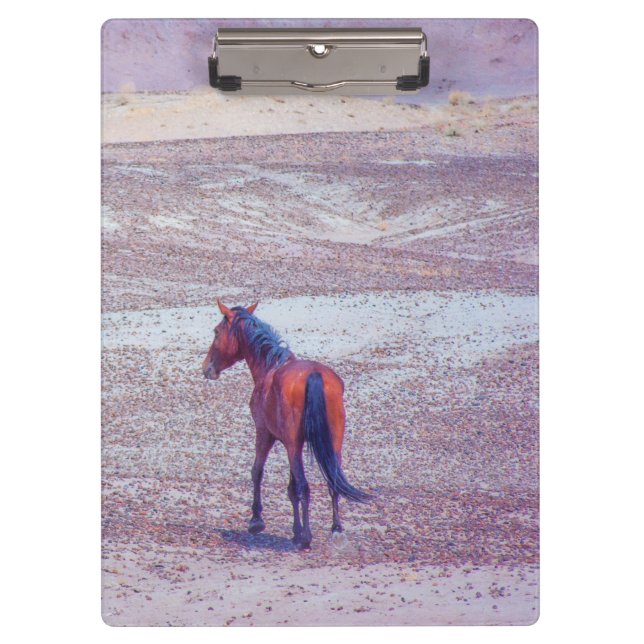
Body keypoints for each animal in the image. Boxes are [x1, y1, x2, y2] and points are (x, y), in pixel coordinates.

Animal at [202, 299, 370, 550]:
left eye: (216, 331)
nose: (207, 368)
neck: (269, 365)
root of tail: (314, 375)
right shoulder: (294, 445)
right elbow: (291, 489)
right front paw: (295, 531)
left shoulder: (265, 434)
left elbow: (258, 472)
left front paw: (257, 521)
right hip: (332, 444)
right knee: (332, 483)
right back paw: (336, 530)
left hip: (291, 444)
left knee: (304, 485)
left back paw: (307, 538)